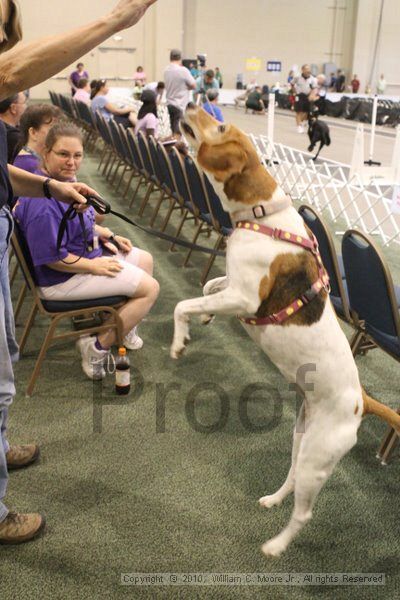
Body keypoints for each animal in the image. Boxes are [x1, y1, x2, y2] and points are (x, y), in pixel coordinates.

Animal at [171, 106, 400, 556]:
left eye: (220, 126)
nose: (188, 106)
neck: (261, 215)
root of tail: (362, 400)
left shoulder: (244, 298)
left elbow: (182, 304)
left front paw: (179, 340)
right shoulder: (233, 286)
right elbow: (206, 289)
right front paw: (204, 320)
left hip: (318, 458)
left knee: (304, 513)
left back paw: (276, 546)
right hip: (302, 439)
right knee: (290, 479)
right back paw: (273, 499)